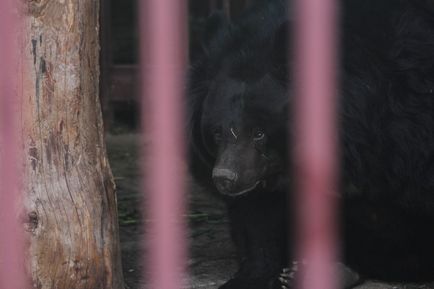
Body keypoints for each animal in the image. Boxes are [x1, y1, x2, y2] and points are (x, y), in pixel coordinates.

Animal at [188, 1, 434, 286]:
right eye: (216, 133)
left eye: (259, 133)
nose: (225, 178)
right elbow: (257, 214)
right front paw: (251, 275)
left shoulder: (405, 130)